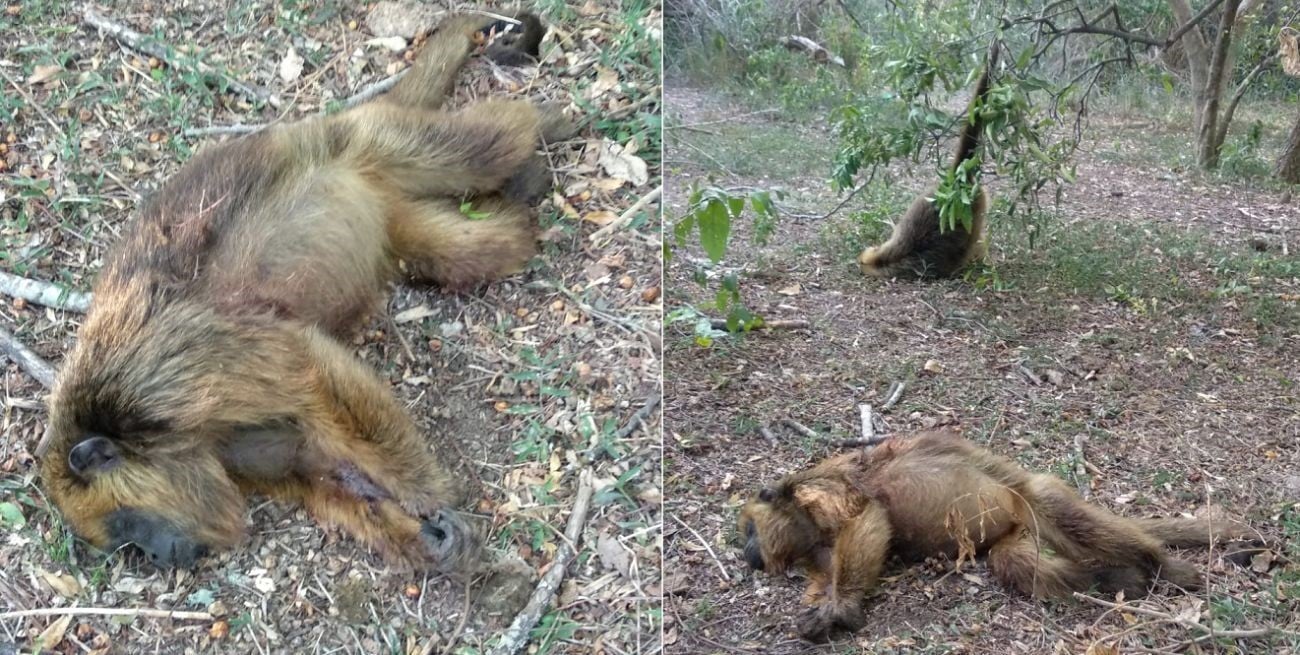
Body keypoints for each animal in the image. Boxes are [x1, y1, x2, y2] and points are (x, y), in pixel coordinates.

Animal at [39, 11, 578, 572]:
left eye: (128, 524)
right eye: (127, 543)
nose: (160, 555)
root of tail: (318, 122)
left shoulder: (160, 376)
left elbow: (312, 367)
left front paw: (426, 492)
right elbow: (310, 468)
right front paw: (421, 539)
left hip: (364, 139)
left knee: (485, 146)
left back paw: (538, 125)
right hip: (388, 202)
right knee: (470, 251)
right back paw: (520, 199)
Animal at [738, 430, 1261, 642]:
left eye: (747, 529)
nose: (746, 554)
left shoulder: (821, 489)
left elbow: (869, 515)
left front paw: (840, 609)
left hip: (1027, 498)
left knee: (1058, 510)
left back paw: (1159, 564)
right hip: (1014, 531)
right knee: (1017, 563)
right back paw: (1118, 580)